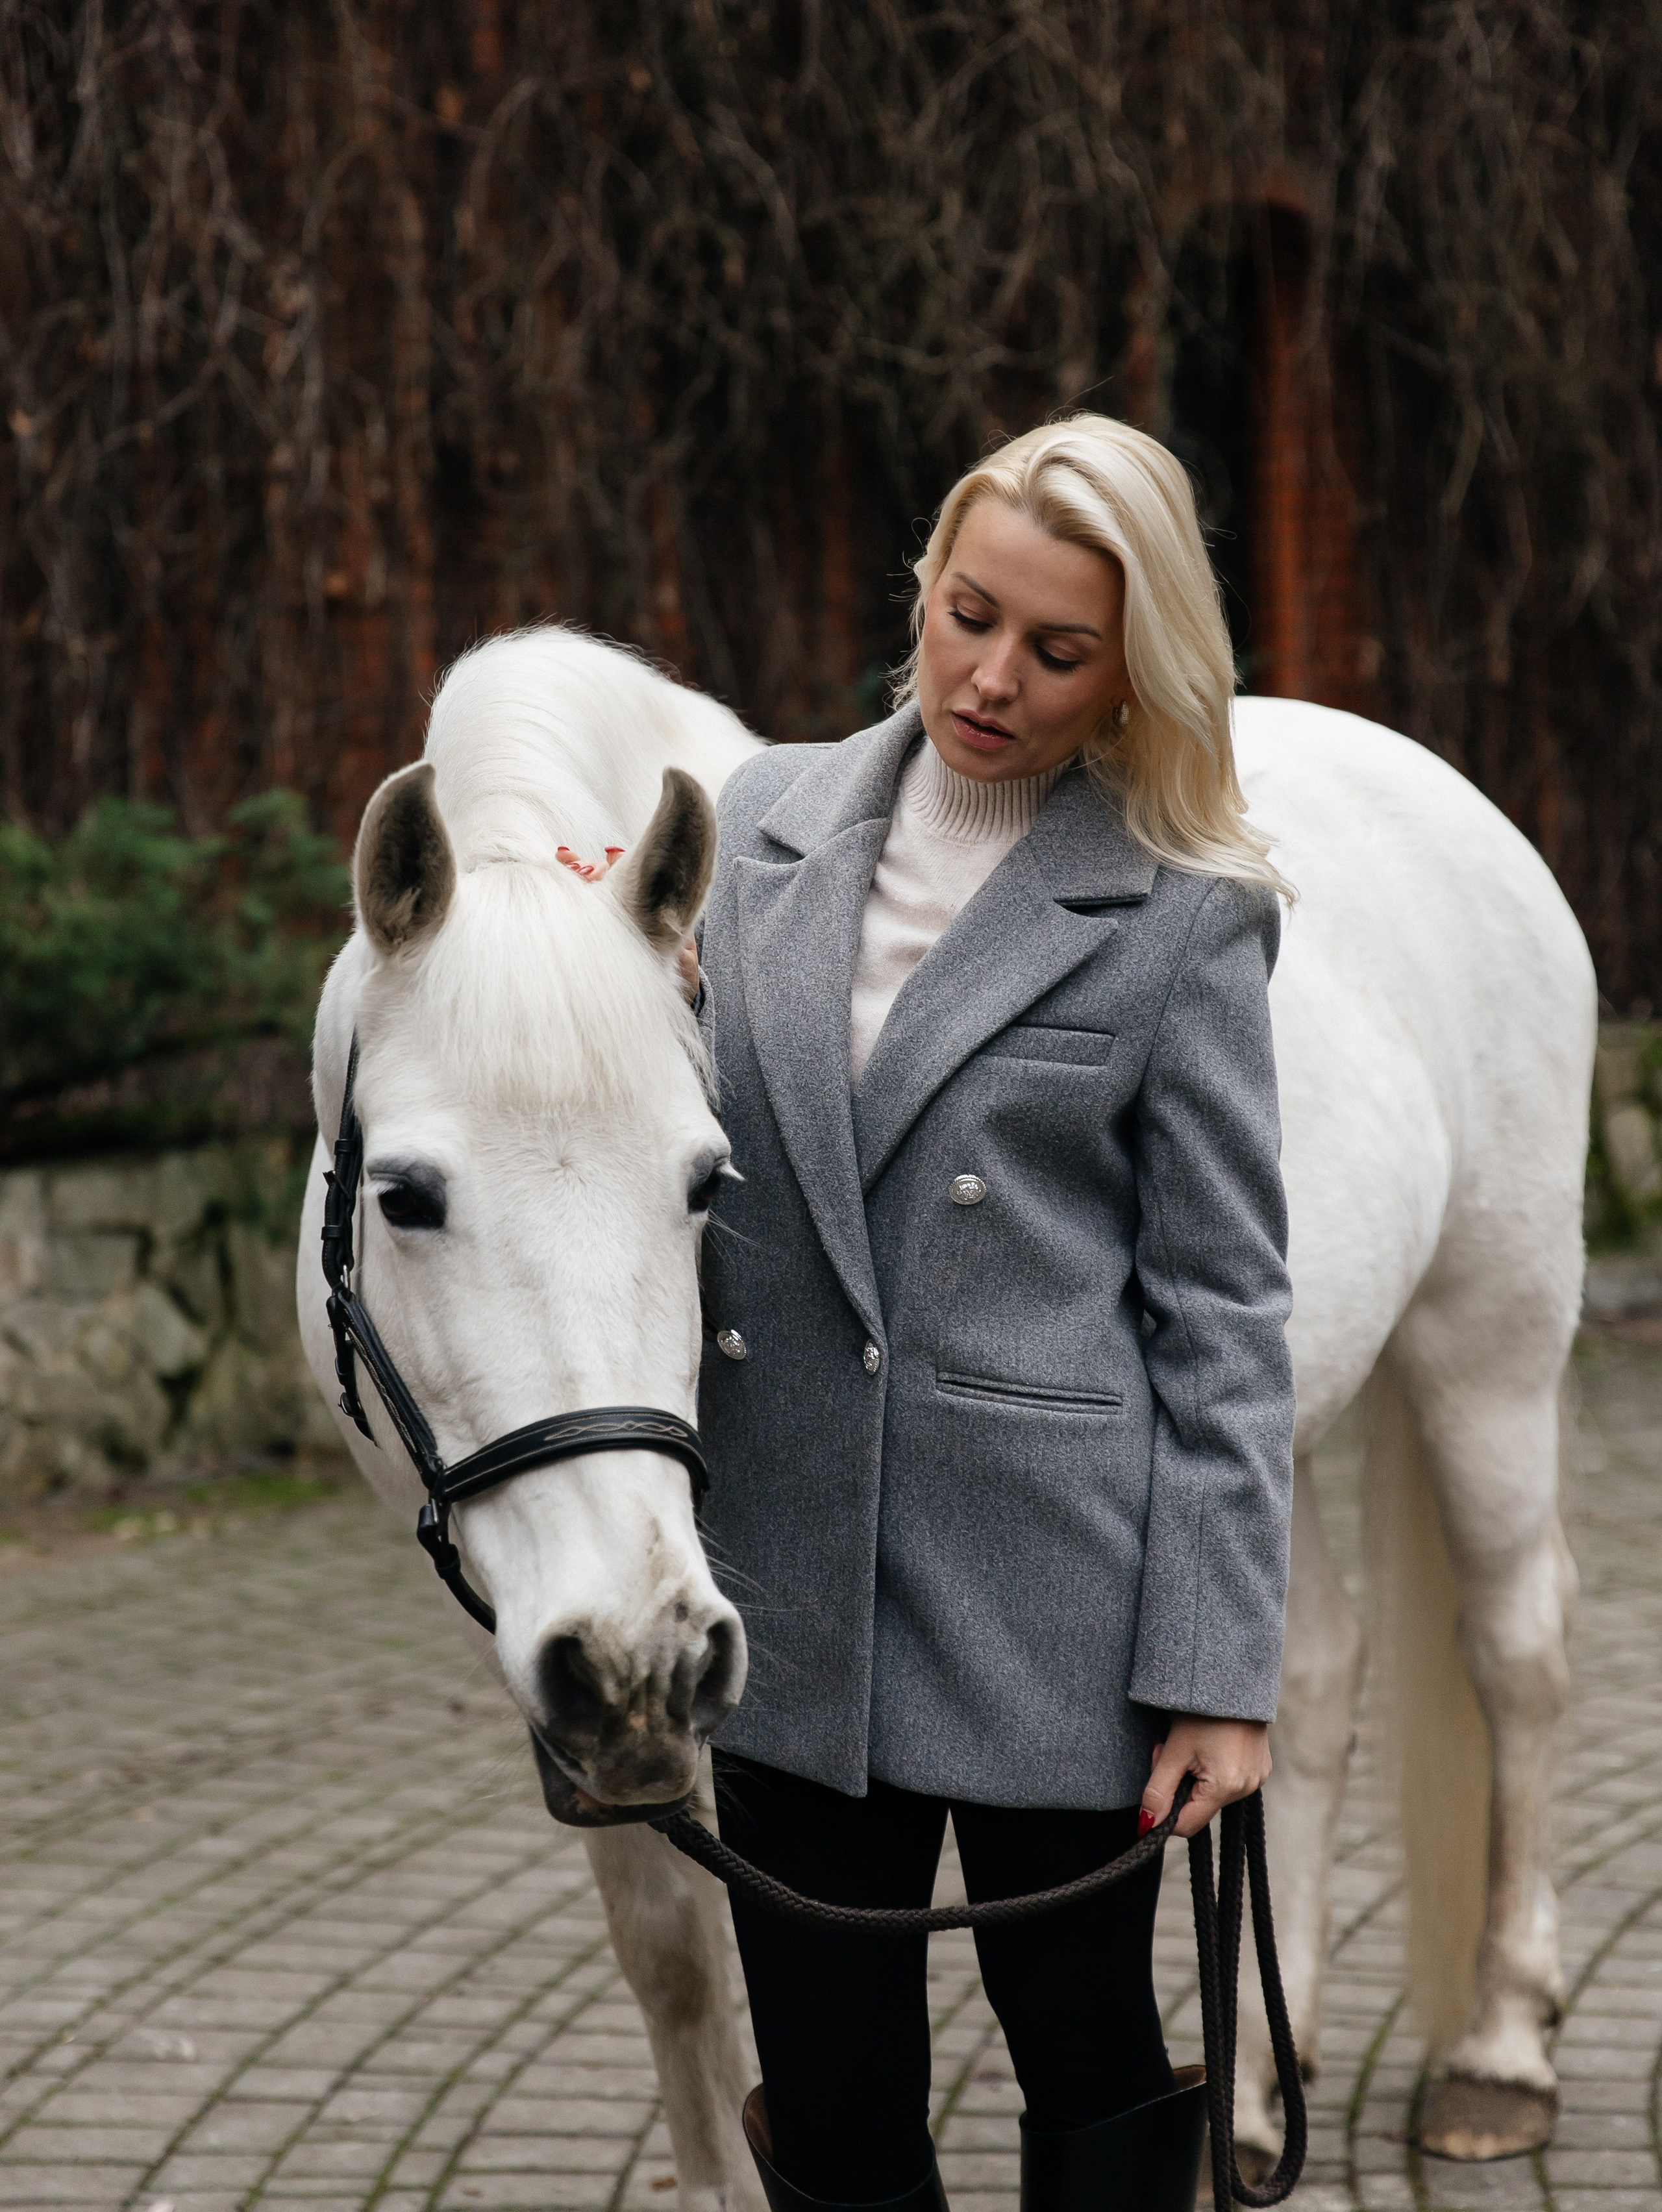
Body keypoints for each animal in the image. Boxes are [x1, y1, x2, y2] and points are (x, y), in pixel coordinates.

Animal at [297, 629, 1594, 2202]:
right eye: (407, 1193)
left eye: (703, 1178)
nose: (645, 1652)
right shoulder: (568, 1671)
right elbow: (672, 1953)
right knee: (1303, 1681)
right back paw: (1252, 2106)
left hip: (1489, 1339)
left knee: (1517, 1647)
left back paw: (1497, 2054)